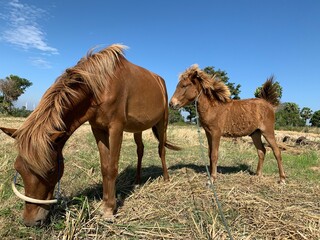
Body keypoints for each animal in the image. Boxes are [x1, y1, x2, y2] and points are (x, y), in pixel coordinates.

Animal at [0, 43, 180, 227]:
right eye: (18, 169)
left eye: (50, 171)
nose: (30, 221)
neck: (100, 87)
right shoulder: (98, 129)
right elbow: (104, 167)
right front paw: (106, 204)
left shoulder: (116, 128)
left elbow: (112, 167)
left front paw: (109, 210)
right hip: (138, 128)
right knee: (140, 150)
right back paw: (137, 180)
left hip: (163, 123)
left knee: (161, 150)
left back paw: (166, 179)